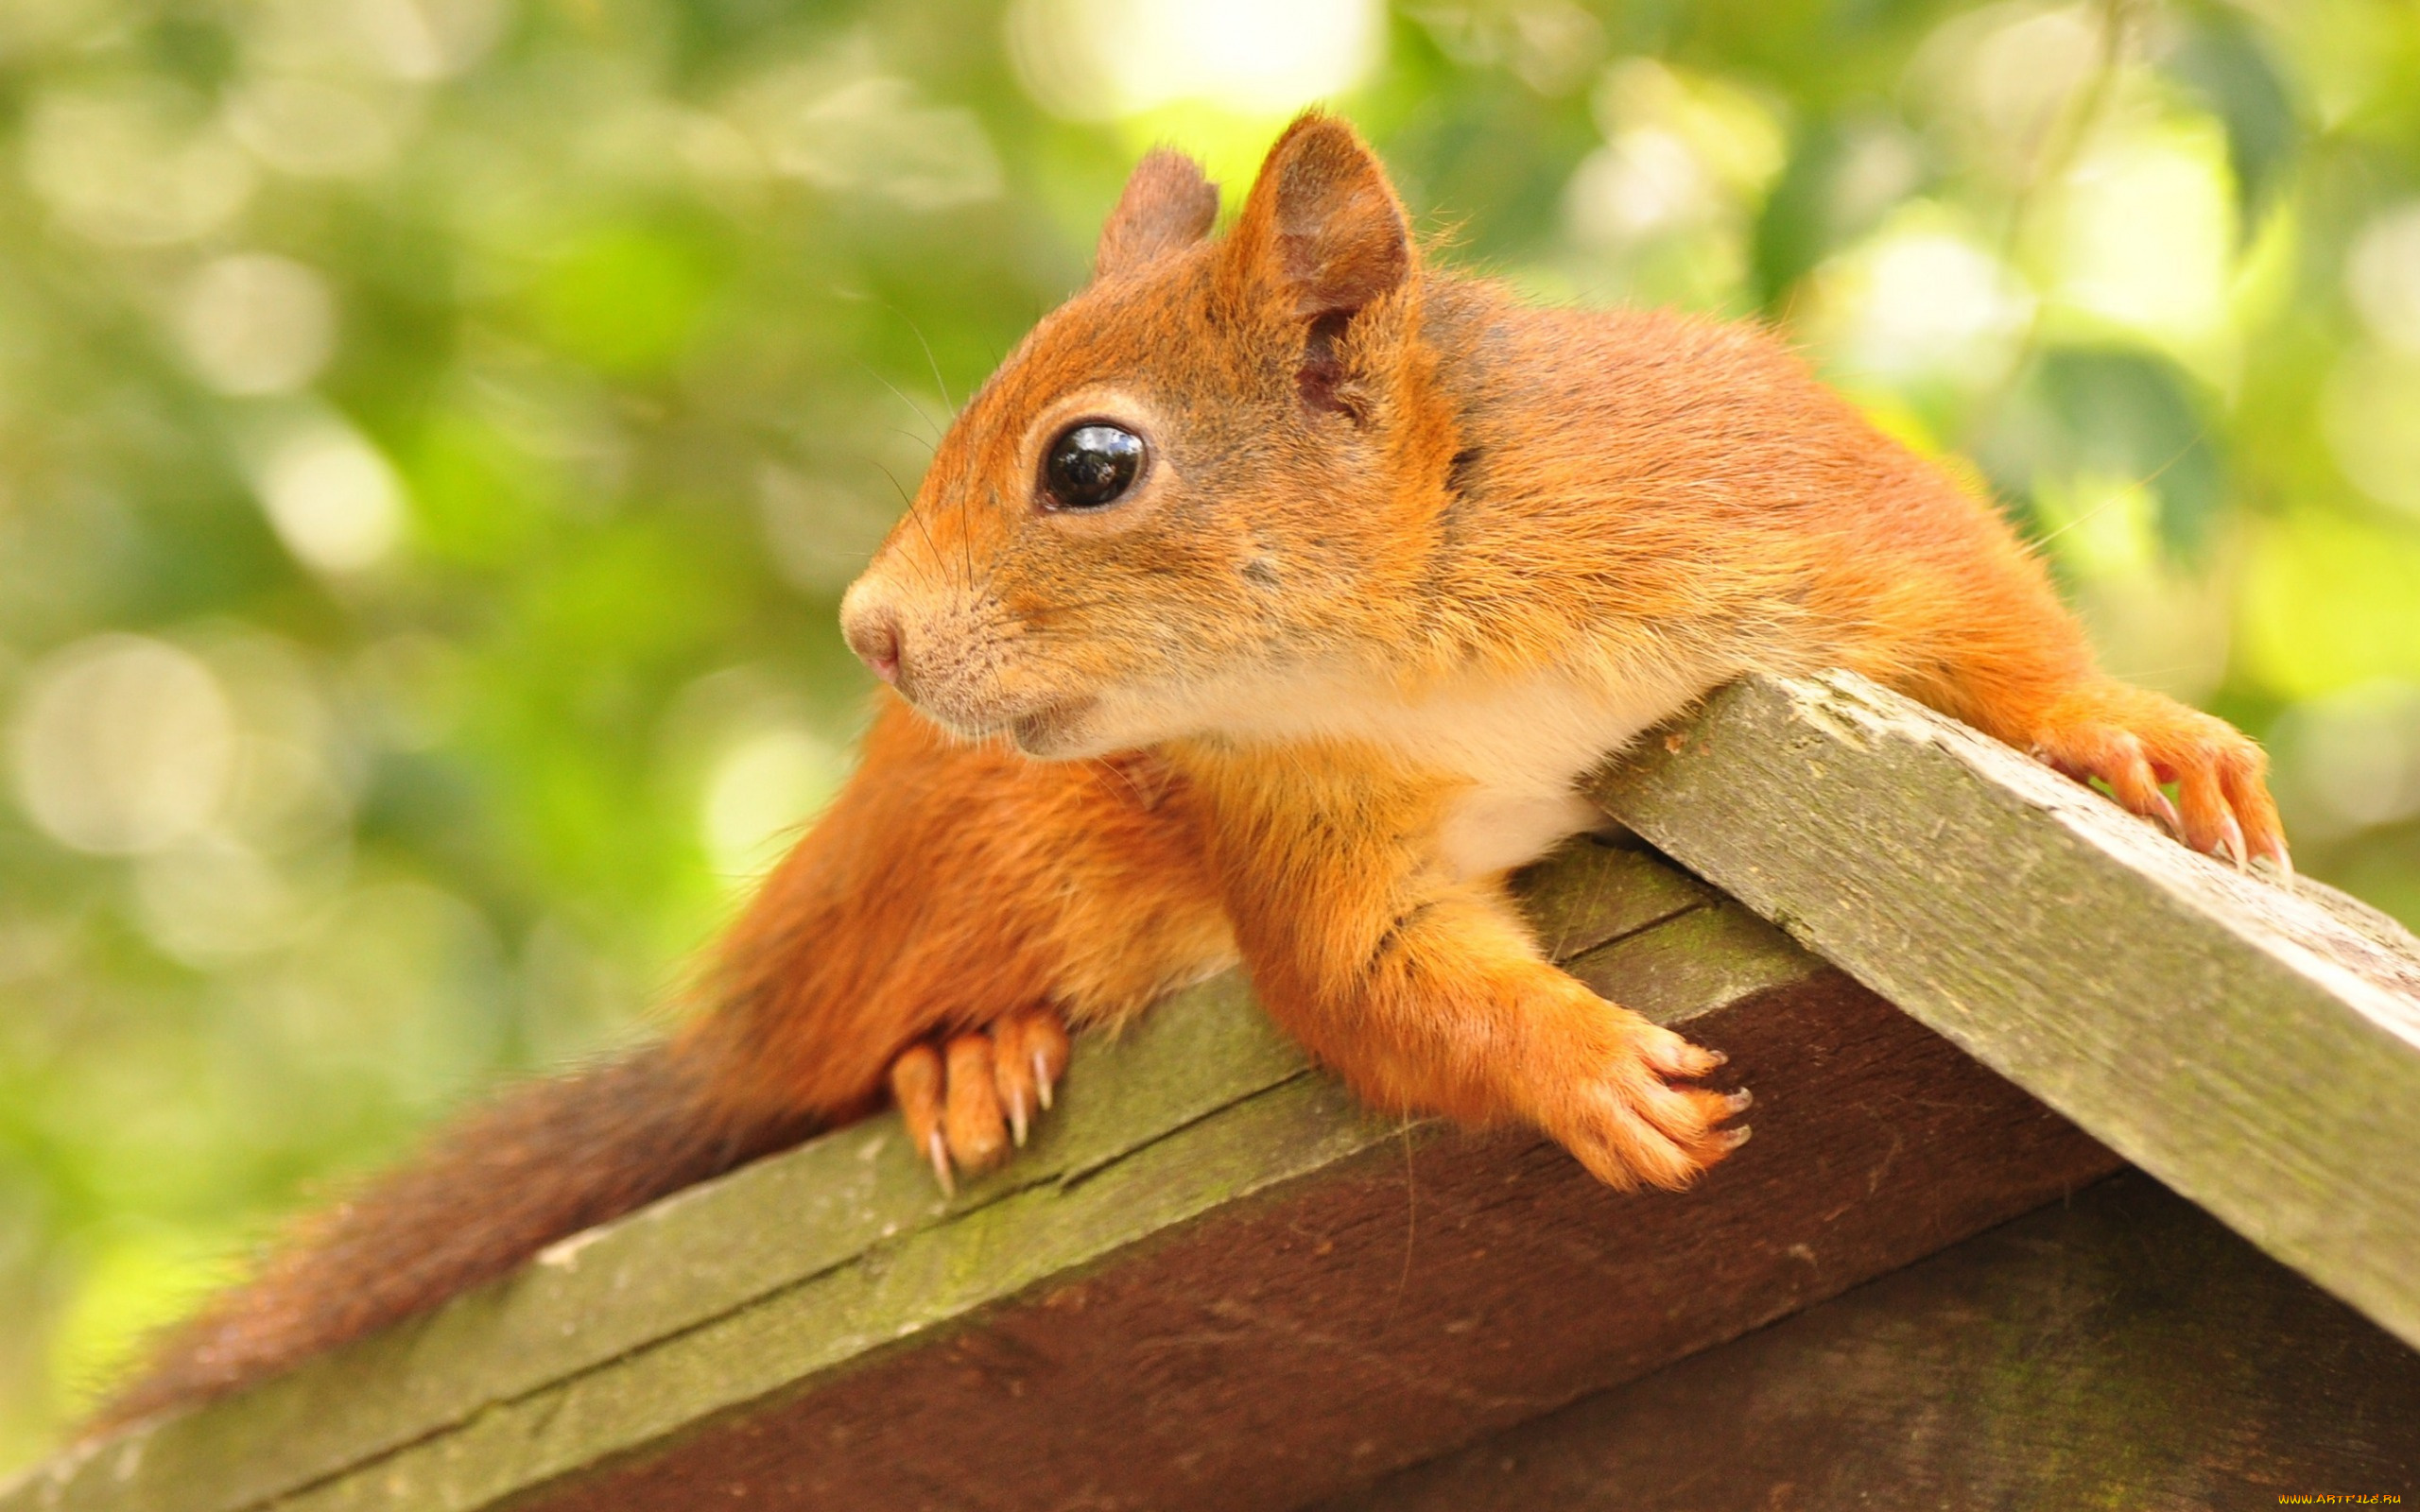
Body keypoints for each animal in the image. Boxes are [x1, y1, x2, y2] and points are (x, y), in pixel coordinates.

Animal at [98, 117, 2284, 1422]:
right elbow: (1366, 980)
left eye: (1090, 460)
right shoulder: (1291, 824)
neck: (1410, 639)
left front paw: (2134, 731)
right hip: (979, 842)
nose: (870, 634)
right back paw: (959, 1056)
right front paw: (1591, 1071)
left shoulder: (1777, 499)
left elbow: (1980, 618)